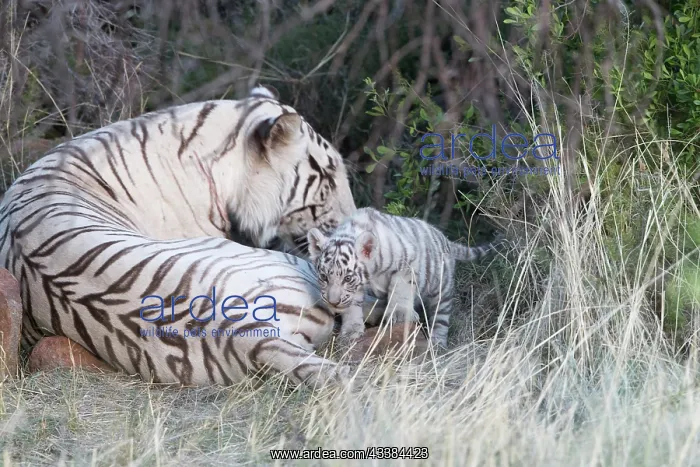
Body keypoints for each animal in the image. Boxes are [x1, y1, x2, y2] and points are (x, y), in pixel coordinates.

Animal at [306, 207, 505, 348]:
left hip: (442, 290)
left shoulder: (407, 262)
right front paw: (351, 331)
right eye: (323, 277)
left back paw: (437, 344)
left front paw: (400, 314)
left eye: (347, 278)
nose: (333, 302)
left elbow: (400, 288)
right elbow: (353, 305)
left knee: (441, 317)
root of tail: (446, 240)